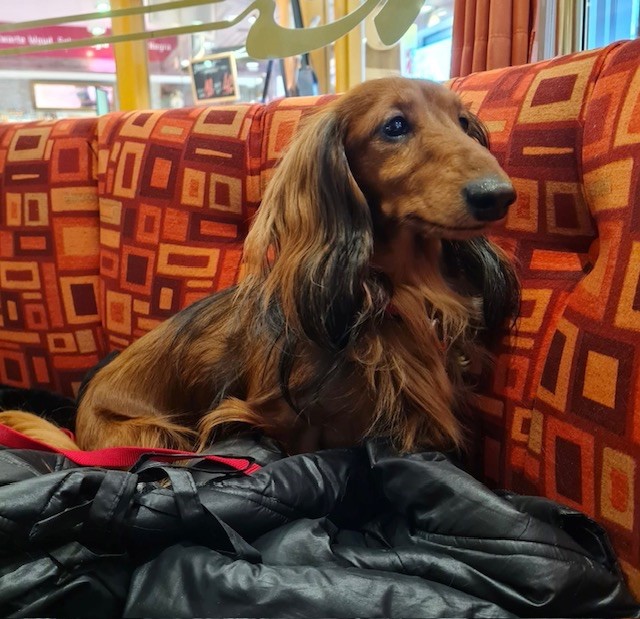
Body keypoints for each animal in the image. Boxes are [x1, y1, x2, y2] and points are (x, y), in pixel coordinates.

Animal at [0, 77, 519, 456]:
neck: (397, 292)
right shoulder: (278, 418)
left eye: (464, 122)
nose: (499, 195)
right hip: (151, 434)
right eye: (394, 126)